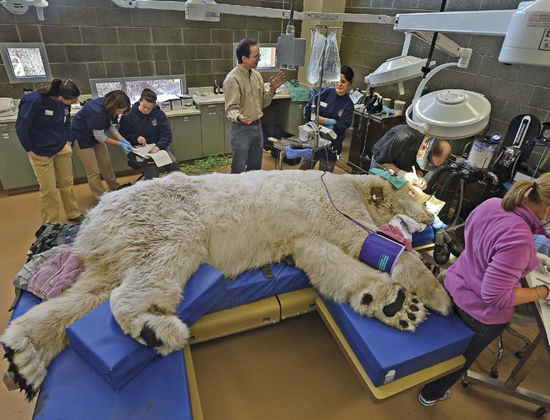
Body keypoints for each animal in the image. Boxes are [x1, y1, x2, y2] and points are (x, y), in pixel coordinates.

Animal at [2, 170, 454, 400]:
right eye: (420, 195)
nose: (436, 216)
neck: (351, 183)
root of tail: (95, 215)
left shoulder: (305, 234)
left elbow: (325, 261)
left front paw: (396, 304)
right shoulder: (335, 202)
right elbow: (367, 242)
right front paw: (436, 296)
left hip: (114, 246)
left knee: (87, 293)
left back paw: (23, 357)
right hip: (163, 221)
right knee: (150, 270)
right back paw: (154, 329)